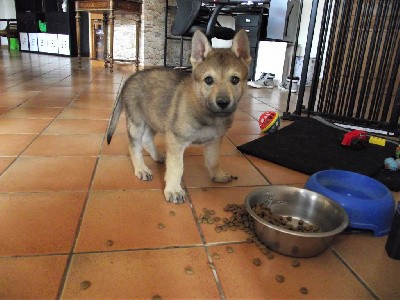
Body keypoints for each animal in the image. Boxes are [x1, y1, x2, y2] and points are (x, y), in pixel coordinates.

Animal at [106, 28, 250, 204]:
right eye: (208, 80)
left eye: (235, 80)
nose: (223, 102)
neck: (207, 113)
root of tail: (129, 80)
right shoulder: (176, 139)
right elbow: (176, 167)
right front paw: (174, 190)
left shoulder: (214, 140)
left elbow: (213, 160)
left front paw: (218, 175)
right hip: (137, 123)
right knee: (134, 146)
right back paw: (141, 168)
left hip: (155, 119)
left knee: (146, 139)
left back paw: (158, 156)